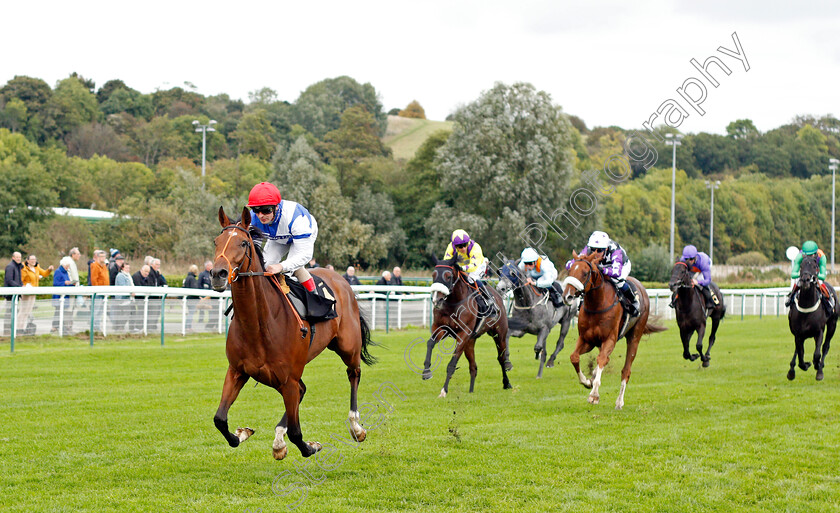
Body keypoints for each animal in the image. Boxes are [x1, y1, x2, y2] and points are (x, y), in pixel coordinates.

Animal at [210, 206, 374, 458]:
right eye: (216, 242)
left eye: (243, 243)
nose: (217, 273)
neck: (258, 325)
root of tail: (340, 279)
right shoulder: (237, 371)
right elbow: (220, 419)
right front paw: (243, 434)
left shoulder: (288, 379)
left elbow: (298, 434)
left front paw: (312, 446)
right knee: (303, 389)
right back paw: (279, 438)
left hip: (348, 346)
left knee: (353, 373)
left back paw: (356, 426)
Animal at [420, 256, 512, 396]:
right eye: (433, 275)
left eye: (448, 276)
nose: (436, 300)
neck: (454, 303)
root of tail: (498, 296)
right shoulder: (441, 328)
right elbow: (430, 343)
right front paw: (426, 372)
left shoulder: (463, 334)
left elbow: (452, 363)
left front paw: (444, 390)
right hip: (470, 342)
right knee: (473, 366)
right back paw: (471, 391)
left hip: (499, 335)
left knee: (501, 359)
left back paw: (507, 383)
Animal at [560, 250, 668, 410]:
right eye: (570, 270)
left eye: (585, 273)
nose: (567, 296)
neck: (597, 305)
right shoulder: (586, 339)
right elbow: (574, 357)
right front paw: (587, 381)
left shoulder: (609, 339)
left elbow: (602, 359)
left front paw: (594, 395)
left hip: (634, 337)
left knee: (625, 370)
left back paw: (619, 402)